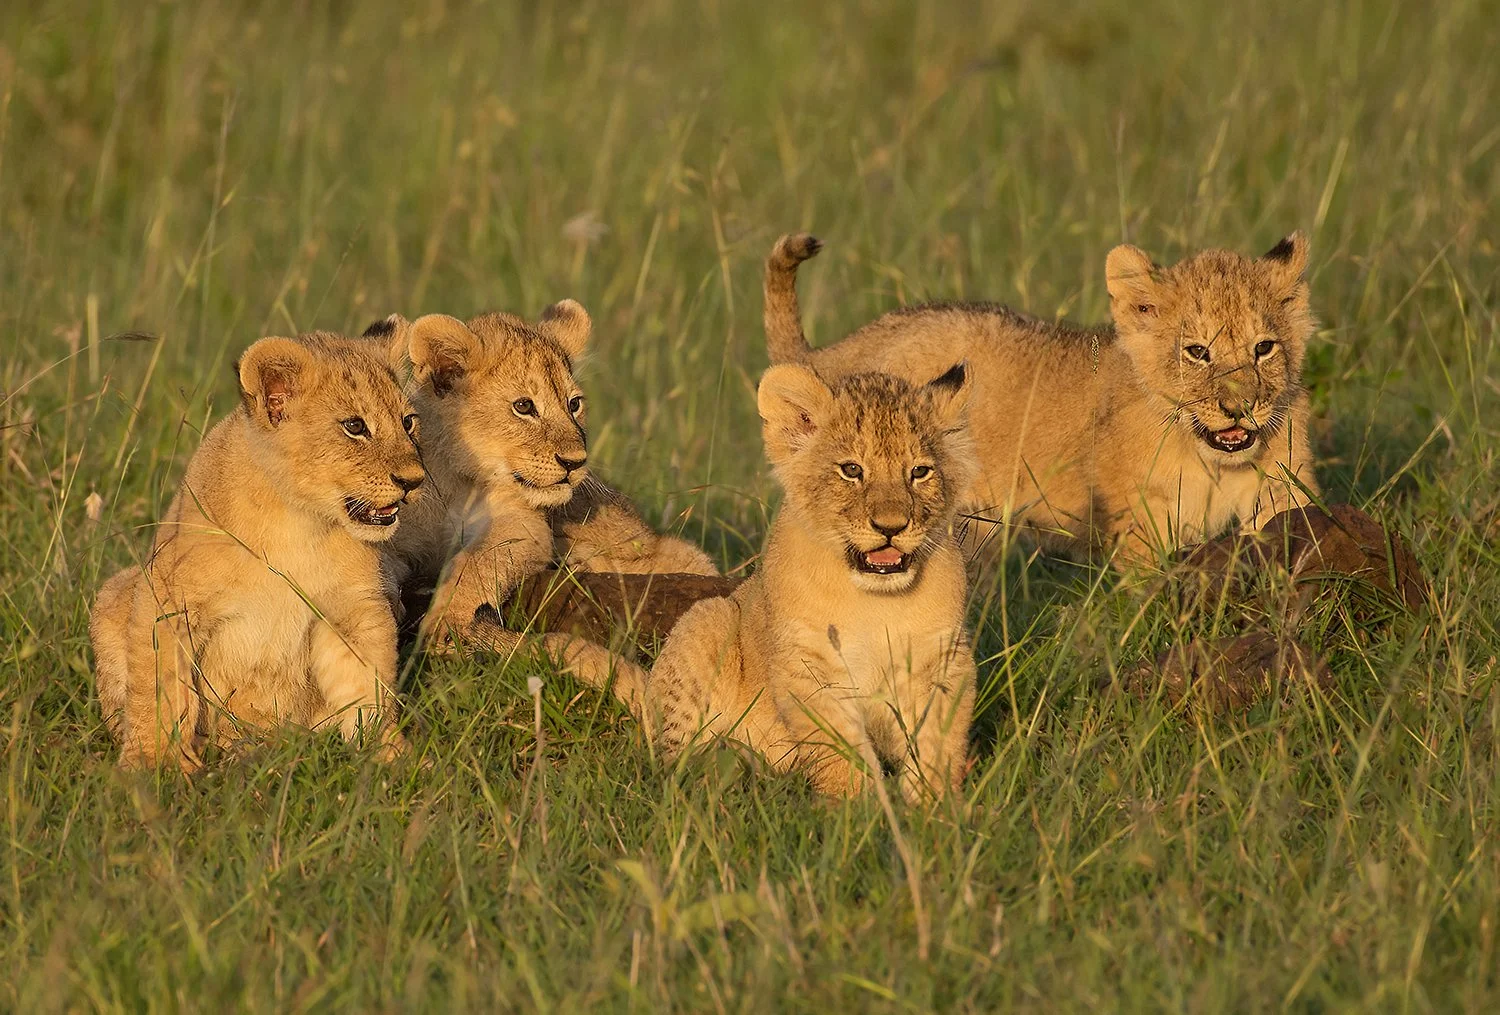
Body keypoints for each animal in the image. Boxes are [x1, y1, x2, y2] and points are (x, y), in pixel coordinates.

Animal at [89, 333, 425, 771]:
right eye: (355, 426)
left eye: (408, 422)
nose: (415, 480)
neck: (298, 522)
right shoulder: (167, 598)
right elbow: (158, 689)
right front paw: (153, 765)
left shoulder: (353, 611)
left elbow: (368, 689)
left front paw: (390, 758)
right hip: (115, 592)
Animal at [647, 363, 978, 801]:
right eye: (851, 470)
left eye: (919, 472)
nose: (891, 527)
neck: (875, 602)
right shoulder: (809, 665)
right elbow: (838, 748)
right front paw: (858, 807)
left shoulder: (939, 660)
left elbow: (936, 742)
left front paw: (934, 806)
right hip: (709, 618)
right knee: (674, 762)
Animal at [763, 232, 1320, 564]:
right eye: (1197, 352)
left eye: (1263, 348)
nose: (1239, 408)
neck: (1212, 459)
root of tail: (831, 353)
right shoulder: (1140, 522)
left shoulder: (1282, 488)